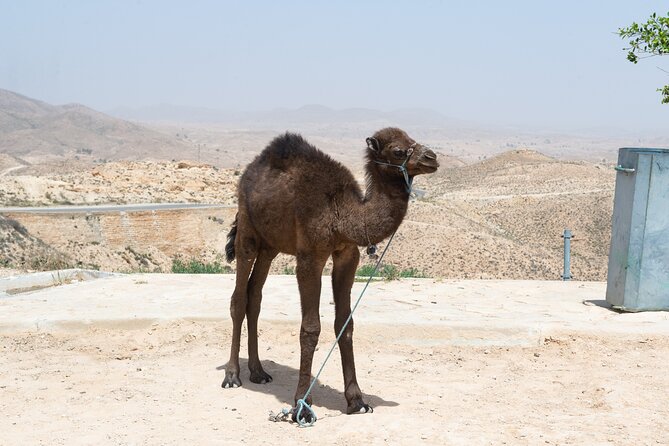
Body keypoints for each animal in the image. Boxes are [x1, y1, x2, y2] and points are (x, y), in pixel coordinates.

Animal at [221, 127, 439, 418]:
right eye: (398, 150)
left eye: (411, 139)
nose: (432, 157)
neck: (341, 214)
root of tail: (249, 172)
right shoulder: (309, 256)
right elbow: (310, 327)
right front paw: (301, 405)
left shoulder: (348, 254)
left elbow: (345, 325)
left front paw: (357, 401)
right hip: (247, 229)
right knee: (239, 297)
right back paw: (232, 375)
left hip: (270, 245)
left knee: (254, 297)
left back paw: (258, 372)